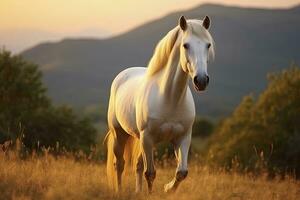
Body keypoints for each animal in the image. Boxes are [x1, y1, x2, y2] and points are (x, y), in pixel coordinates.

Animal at [104, 14, 214, 193]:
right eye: (185, 45)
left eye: (208, 45)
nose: (202, 80)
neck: (170, 99)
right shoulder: (148, 138)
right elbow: (150, 173)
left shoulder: (182, 138)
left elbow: (181, 172)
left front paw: (168, 189)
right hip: (119, 133)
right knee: (119, 164)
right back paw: (119, 192)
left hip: (140, 139)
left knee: (137, 165)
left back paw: (138, 192)